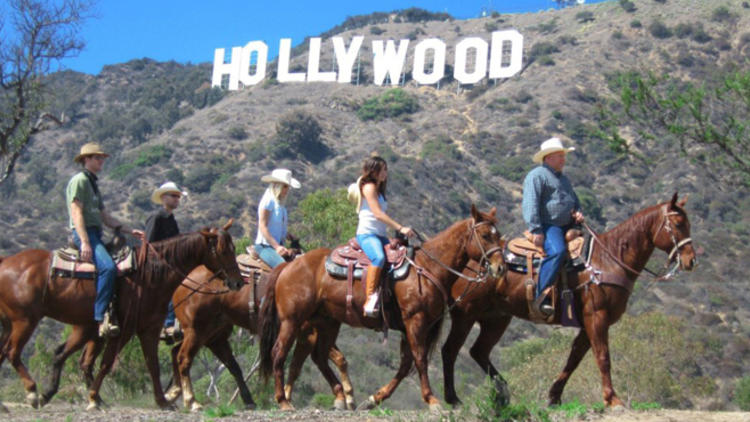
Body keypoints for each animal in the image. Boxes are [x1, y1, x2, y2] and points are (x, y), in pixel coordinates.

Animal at [0, 223, 244, 410]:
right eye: (223, 251)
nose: (238, 282)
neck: (149, 276)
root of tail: (6, 261)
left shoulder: (148, 329)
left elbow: (153, 364)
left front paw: (163, 401)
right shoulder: (125, 330)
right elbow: (108, 363)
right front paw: (92, 398)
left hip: (35, 325)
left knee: (50, 355)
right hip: (25, 321)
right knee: (13, 352)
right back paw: (33, 392)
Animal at [165, 264, 358, 412]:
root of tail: (183, 282)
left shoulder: (309, 334)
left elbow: (332, 360)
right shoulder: (307, 334)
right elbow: (300, 365)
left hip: (212, 334)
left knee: (194, 356)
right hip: (198, 331)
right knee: (183, 357)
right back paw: (190, 401)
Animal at [258, 206, 506, 410]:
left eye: (499, 236)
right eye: (485, 235)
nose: (500, 268)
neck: (427, 268)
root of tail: (288, 265)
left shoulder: (410, 327)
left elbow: (406, 365)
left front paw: (374, 399)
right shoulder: (416, 321)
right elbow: (420, 359)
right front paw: (432, 400)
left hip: (327, 322)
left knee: (318, 356)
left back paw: (340, 397)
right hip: (292, 321)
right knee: (279, 352)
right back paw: (283, 401)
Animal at [440, 195, 700, 408]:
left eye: (688, 224)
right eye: (678, 224)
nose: (691, 260)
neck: (608, 259)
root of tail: (467, 261)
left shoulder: (588, 323)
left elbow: (574, 359)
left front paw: (554, 396)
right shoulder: (597, 317)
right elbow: (603, 357)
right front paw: (612, 399)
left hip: (496, 318)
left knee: (479, 351)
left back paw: (503, 392)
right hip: (465, 315)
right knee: (450, 350)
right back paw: (453, 398)